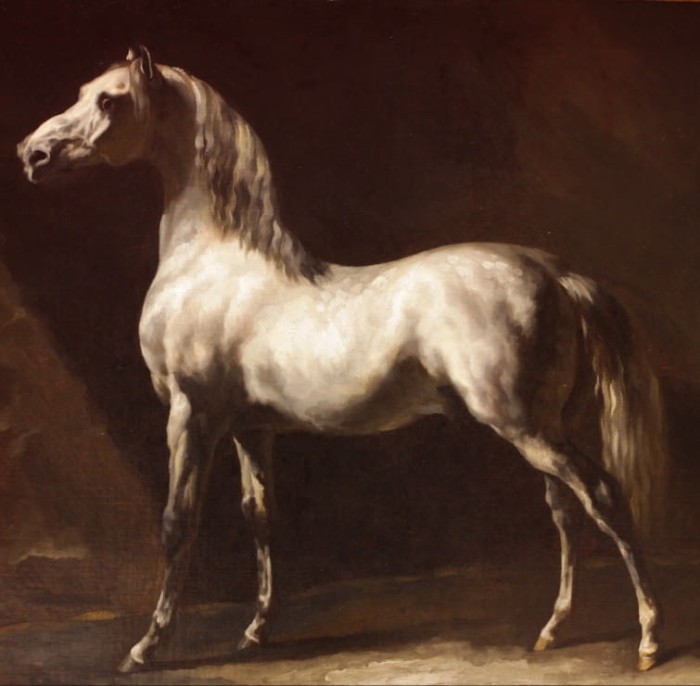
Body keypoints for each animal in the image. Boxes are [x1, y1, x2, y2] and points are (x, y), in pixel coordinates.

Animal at [18, 47, 669, 673]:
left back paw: (648, 638)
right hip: (542, 428)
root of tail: (558, 274)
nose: (32, 154)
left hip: (525, 427)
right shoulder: (250, 429)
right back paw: (552, 630)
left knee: (603, 497)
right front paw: (255, 632)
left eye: (110, 99)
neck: (211, 262)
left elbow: (178, 525)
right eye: (83, 92)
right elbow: (261, 517)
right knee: (566, 511)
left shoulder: (191, 416)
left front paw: (145, 648)